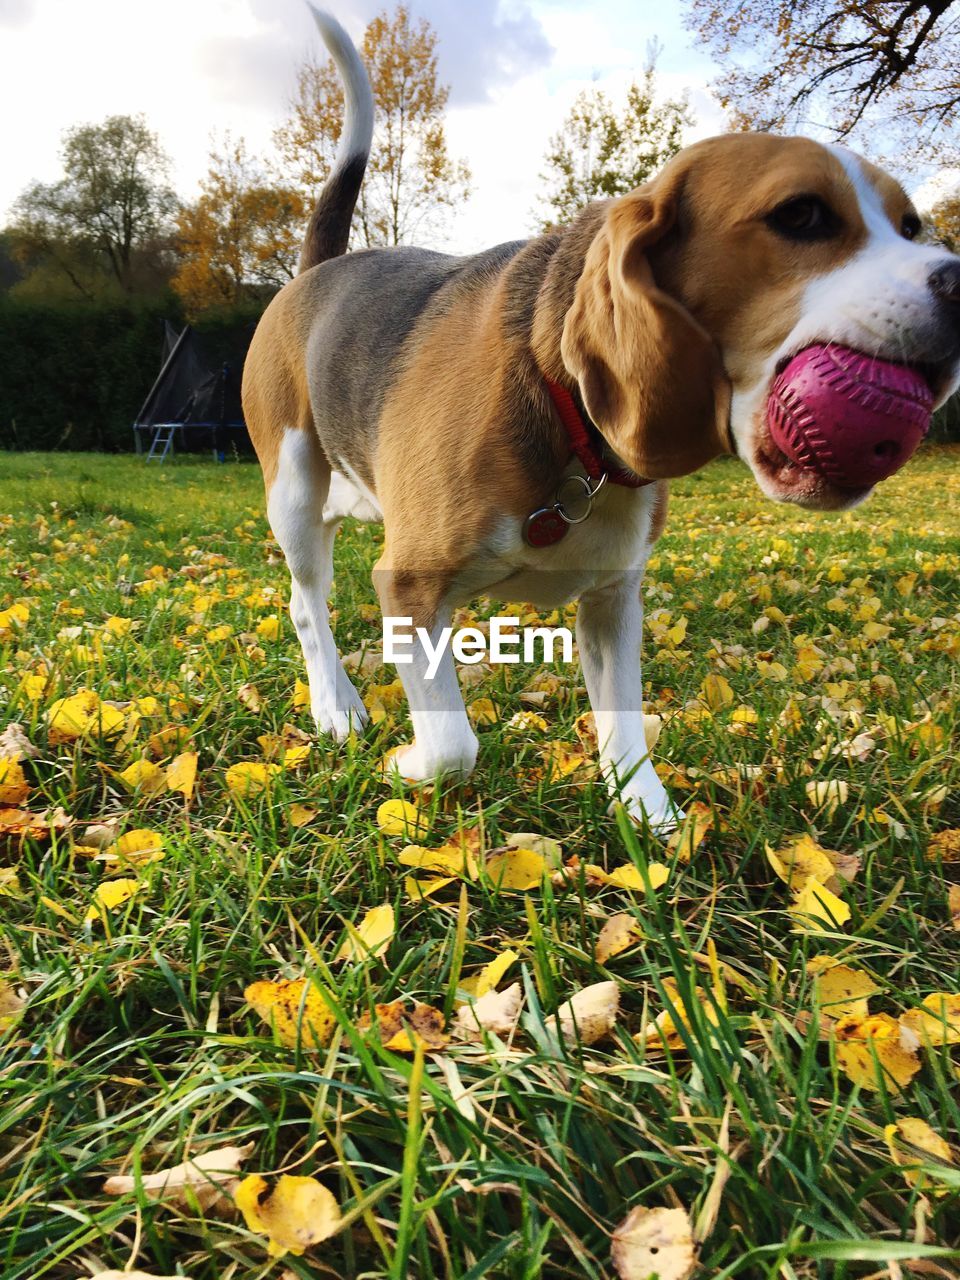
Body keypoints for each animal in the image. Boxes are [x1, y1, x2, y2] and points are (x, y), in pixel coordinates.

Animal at [241, 7, 960, 829]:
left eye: (910, 226)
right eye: (801, 215)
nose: (959, 283)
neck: (570, 427)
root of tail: (317, 272)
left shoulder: (613, 596)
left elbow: (626, 724)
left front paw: (652, 817)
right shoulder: (410, 582)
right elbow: (455, 746)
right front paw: (411, 764)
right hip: (295, 492)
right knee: (307, 607)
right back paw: (337, 706)